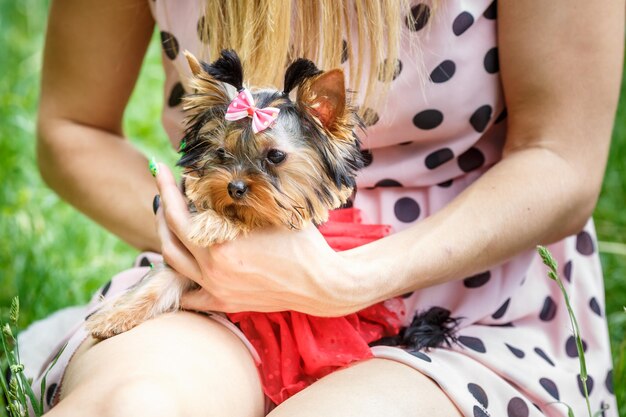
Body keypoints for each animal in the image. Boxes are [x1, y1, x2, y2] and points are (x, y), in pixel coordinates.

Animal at [85, 50, 364, 340]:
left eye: (275, 155)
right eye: (221, 152)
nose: (234, 187)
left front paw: (214, 223)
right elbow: (160, 280)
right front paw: (115, 315)